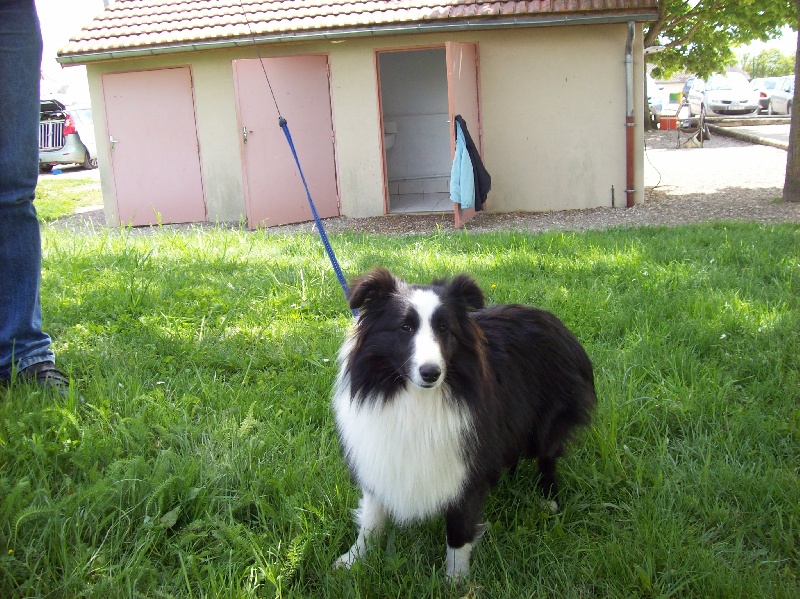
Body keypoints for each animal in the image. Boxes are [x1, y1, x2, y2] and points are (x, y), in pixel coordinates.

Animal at [330, 270, 592, 580]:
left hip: (548, 422)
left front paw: (456, 580)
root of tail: (553, 320)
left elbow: (459, 528)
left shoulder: (464, 462)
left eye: (445, 329)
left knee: (548, 456)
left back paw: (548, 499)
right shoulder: (380, 456)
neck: (415, 398)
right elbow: (372, 516)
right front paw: (353, 560)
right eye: (405, 327)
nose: (431, 373)